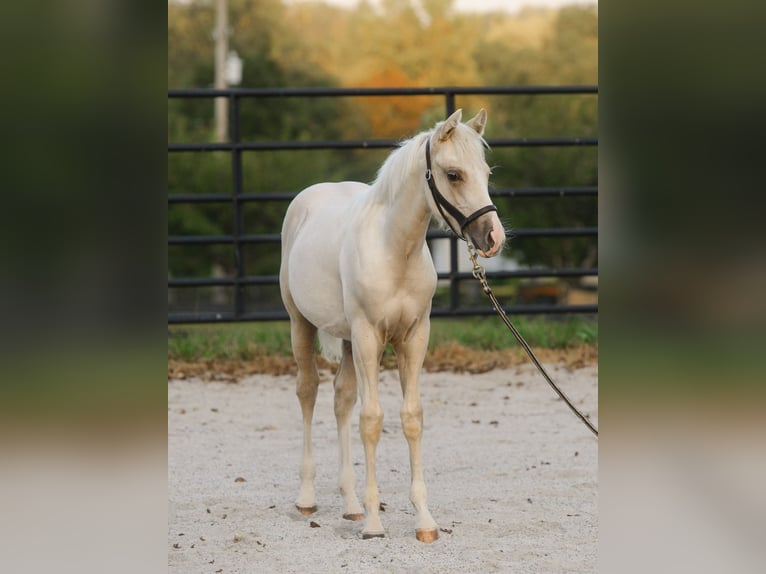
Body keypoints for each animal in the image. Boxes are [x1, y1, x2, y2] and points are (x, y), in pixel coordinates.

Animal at [279, 109, 506, 542]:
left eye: (486, 173)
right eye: (453, 174)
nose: (493, 238)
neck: (393, 250)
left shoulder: (414, 337)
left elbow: (410, 417)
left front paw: (424, 521)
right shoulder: (369, 336)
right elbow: (372, 420)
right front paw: (373, 524)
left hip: (348, 340)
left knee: (342, 399)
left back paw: (350, 504)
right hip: (302, 324)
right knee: (308, 392)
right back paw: (307, 497)